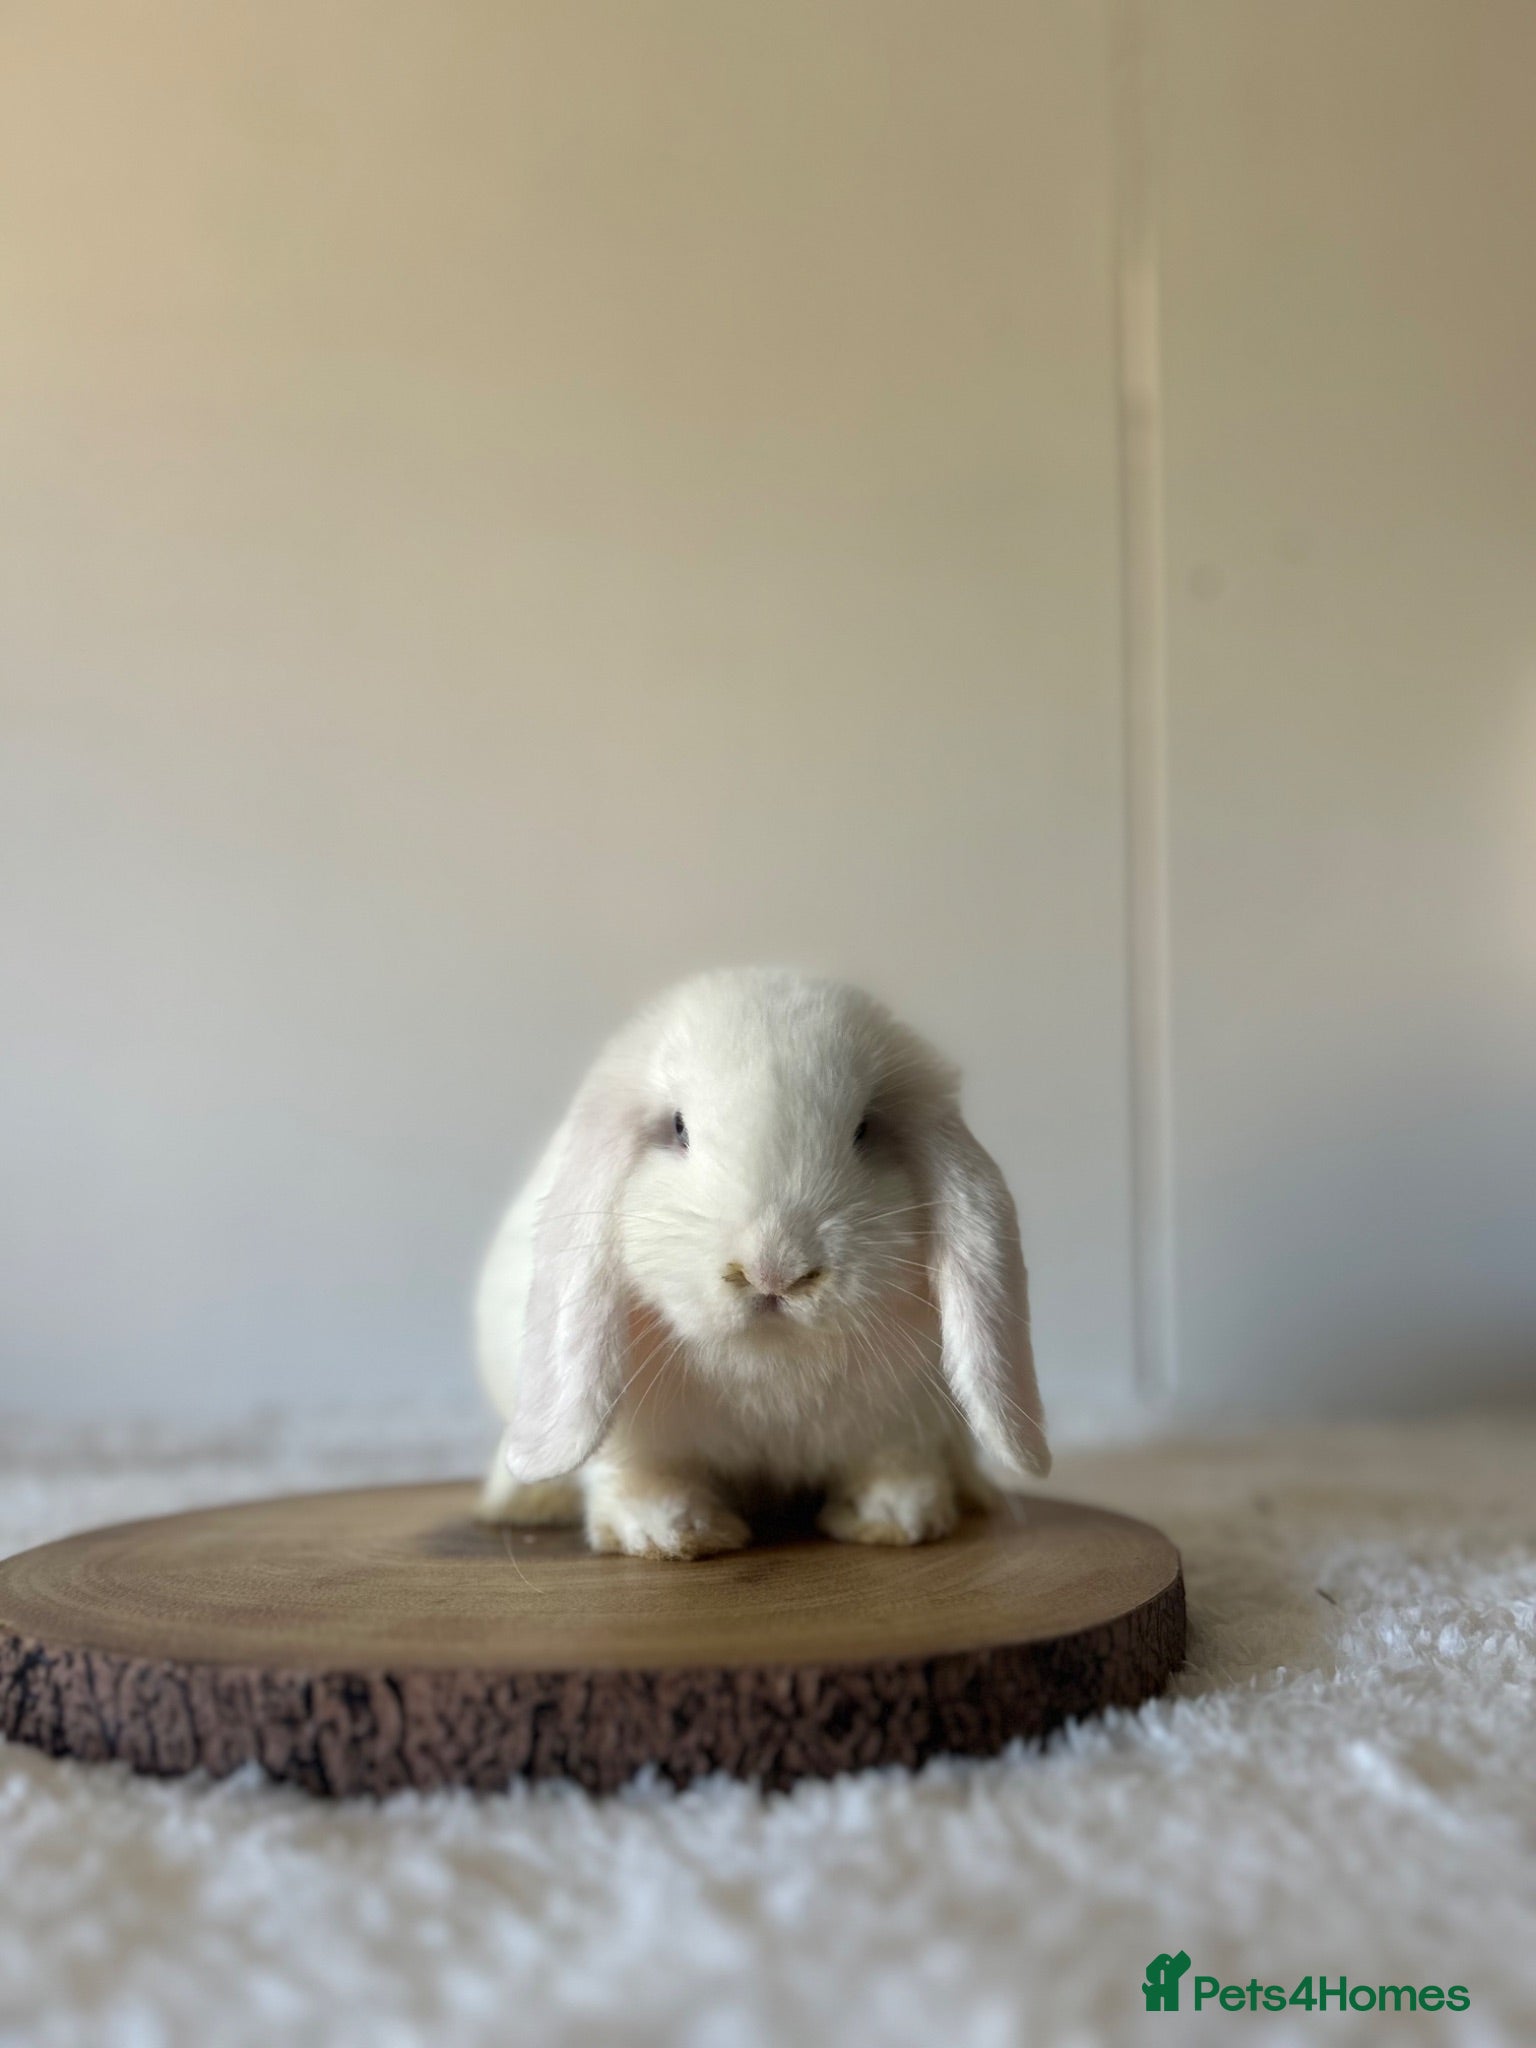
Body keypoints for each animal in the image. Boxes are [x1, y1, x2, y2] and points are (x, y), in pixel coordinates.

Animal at [475, 967, 1049, 1559]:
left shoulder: (903, 1421)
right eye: (679, 1128)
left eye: (864, 1129)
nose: (774, 1273)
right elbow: (639, 1475)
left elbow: (892, 1463)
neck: (771, 1366)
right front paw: (675, 1533)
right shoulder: (637, 1441)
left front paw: (895, 1519)